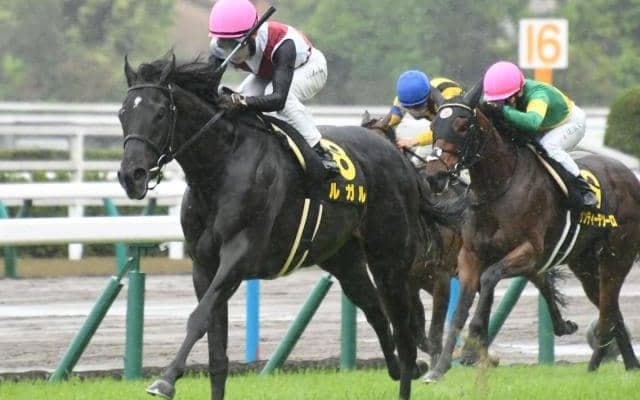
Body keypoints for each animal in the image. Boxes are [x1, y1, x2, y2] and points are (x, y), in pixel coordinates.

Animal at [117, 54, 449, 400]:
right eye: (122, 113)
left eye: (158, 113)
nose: (131, 175)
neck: (220, 168)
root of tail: (399, 158)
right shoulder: (203, 266)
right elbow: (216, 354)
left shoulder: (239, 256)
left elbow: (198, 318)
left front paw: (165, 380)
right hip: (344, 260)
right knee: (375, 311)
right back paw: (402, 367)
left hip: (390, 259)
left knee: (404, 335)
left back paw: (412, 365)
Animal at [421, 82, 640, 382]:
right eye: (433, 126)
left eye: (462, 125)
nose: (434, 176)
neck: (499, 187)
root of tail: (629, 176)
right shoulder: (471, 255)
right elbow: (461, 309)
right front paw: (439, 369)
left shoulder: (530, 252)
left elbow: (489, 279)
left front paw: (470, 350)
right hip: (584, 265)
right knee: (612, 309)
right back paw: (627, 364)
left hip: (617, 257)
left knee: (608, 310)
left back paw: (597, 364)